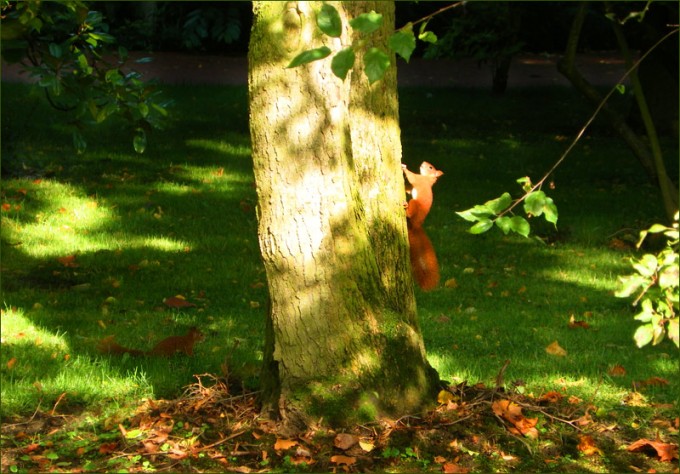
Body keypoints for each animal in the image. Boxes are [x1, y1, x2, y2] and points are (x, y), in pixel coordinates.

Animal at [402, 162, 443, 291]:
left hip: (415, 205)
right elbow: (410, 189)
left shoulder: (419, 180)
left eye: (430, 167)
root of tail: (416, 225)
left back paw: (406, 208)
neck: (427, 179)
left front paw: (403, 168)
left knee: (410, 211)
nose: (423, 163)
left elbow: (412, 177)